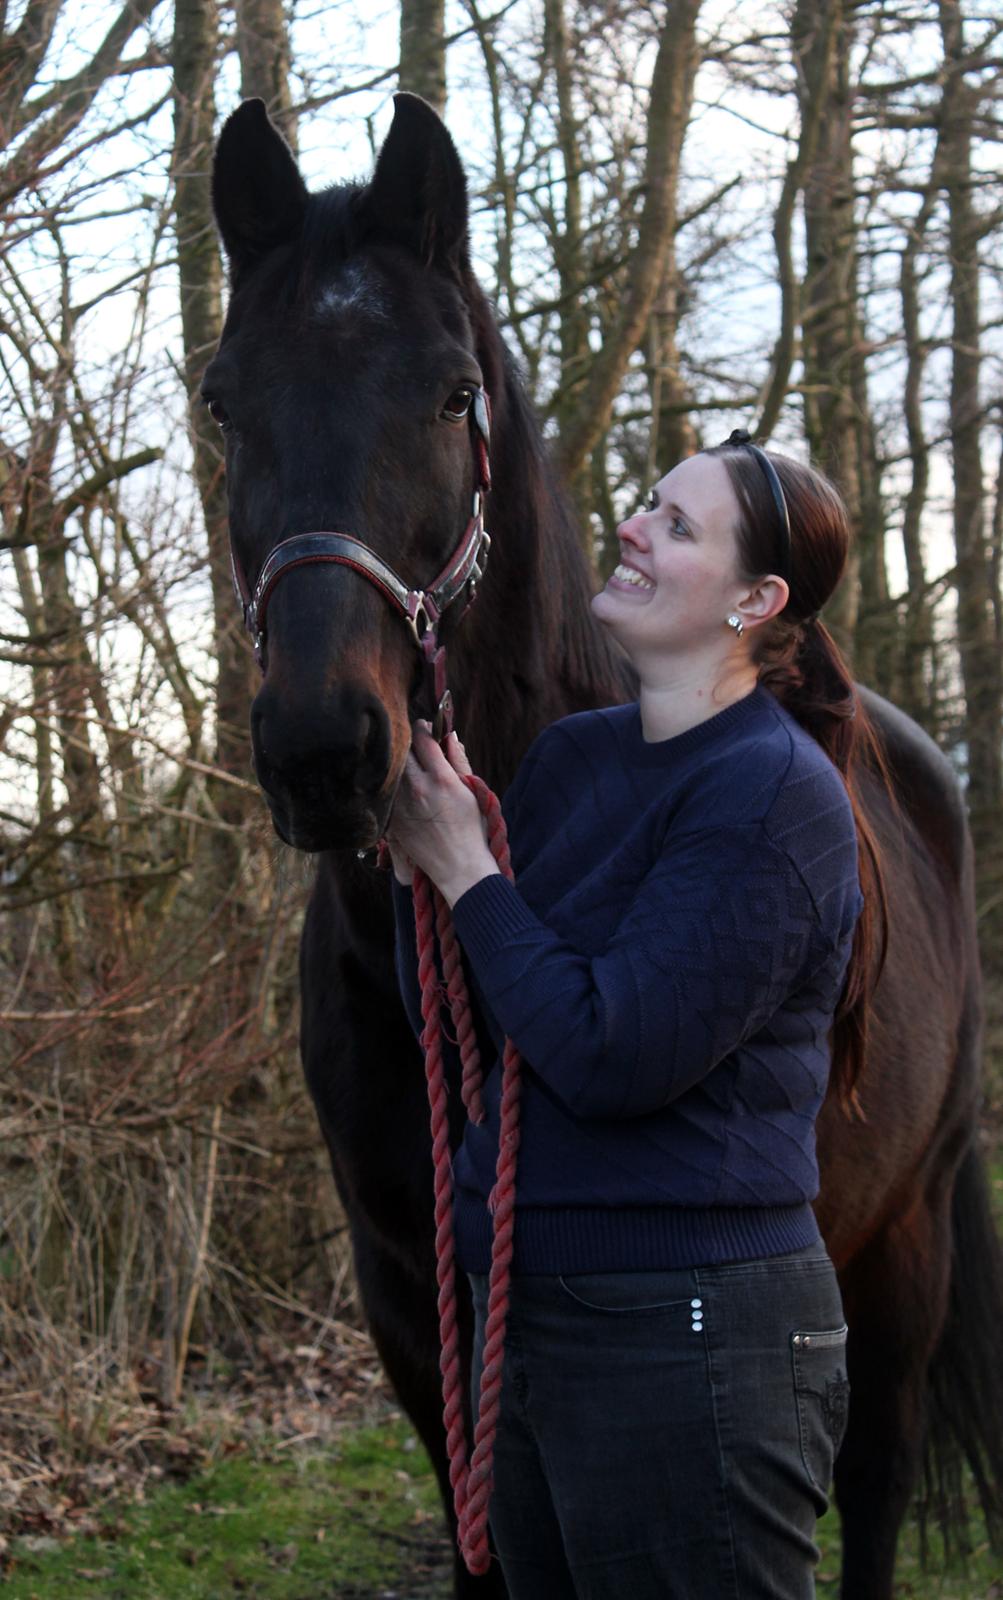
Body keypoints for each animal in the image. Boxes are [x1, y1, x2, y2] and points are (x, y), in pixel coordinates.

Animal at [206, 90, 1003, 1600]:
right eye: (222, 400)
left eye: (451, 392)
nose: (323, 747)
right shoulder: (417, 1313)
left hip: (904, 1245)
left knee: (870, 1489)